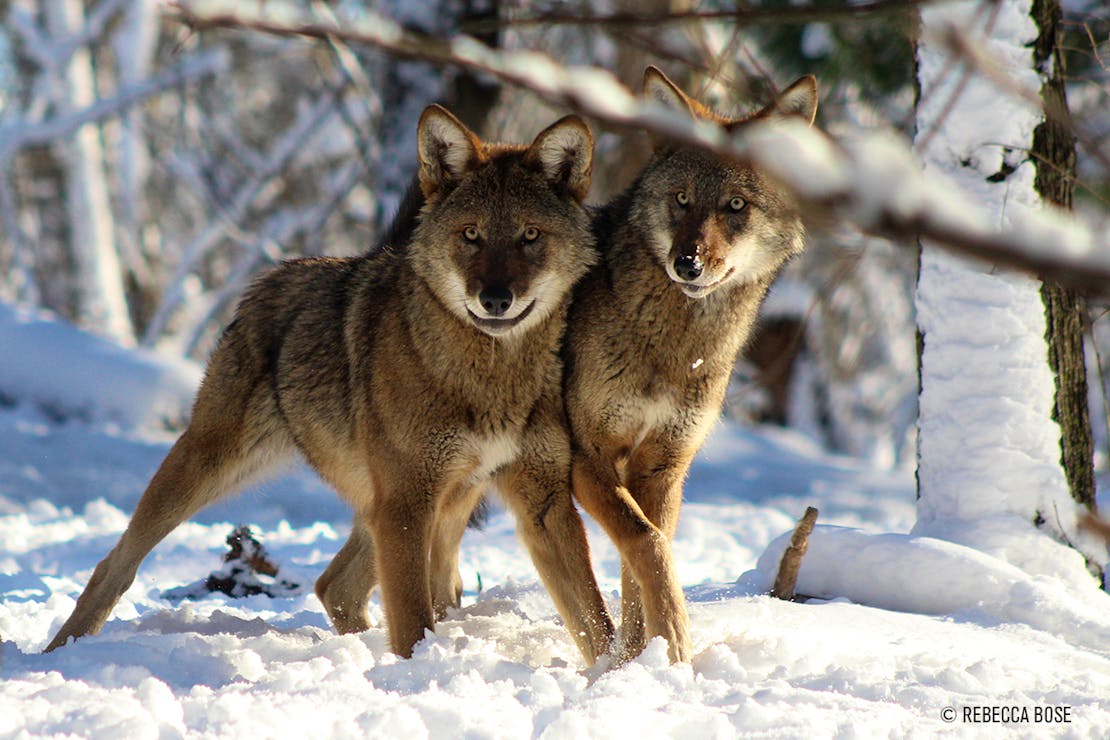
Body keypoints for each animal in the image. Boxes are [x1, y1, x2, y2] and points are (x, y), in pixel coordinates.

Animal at [45, 105, 617, 665]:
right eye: (471, 234)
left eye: (529, 236)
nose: (495, 299)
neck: (489, 375)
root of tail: (271, 277)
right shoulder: (407, 503)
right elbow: (413, 620)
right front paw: (418, 673)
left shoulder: (542, 502)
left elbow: (595, 621)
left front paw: (616, 672)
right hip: (217, 467)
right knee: (116, 563)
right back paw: (58, 654)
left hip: (431, 502)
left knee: (333, 585)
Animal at [563, 66, 816, 661]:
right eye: (681, 199)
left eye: (735, 206)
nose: (688, 263)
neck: (674, 343)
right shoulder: (590, 455)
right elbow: (647, 542)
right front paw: (673, 645)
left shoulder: (662, 466)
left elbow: (642, 563)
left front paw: (643, 658)